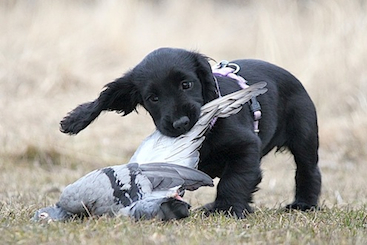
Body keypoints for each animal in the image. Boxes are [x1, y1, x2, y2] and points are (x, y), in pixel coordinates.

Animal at [60, 47, 322, 218]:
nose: (181, 123)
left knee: (308, 171)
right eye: (153, 98)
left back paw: (303, 204)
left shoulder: (246, 146)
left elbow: (234, 180)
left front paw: (225, 209)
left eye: (186, 84)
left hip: (304, 136)